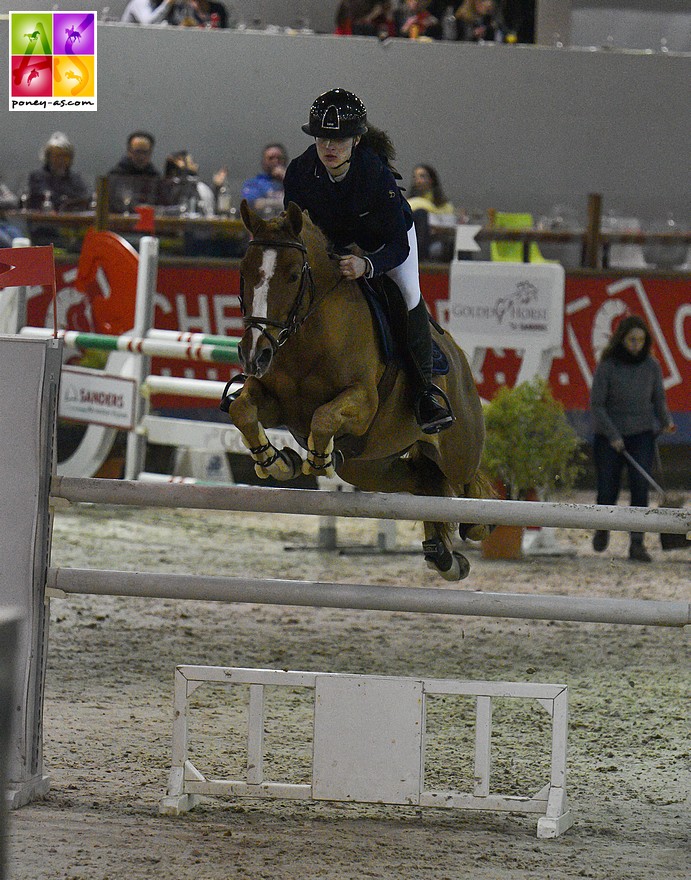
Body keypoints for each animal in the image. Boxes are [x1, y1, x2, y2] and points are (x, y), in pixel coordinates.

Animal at [227, 202, 486, 580]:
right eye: (244, 272)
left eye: (293, 275)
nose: (254, 354)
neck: (308, 335)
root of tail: (459, 358)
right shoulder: (275, 401)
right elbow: (242, 410)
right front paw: (278, 462)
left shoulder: (363, 402)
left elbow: (324, 417)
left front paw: (318, 460)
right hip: (369, 466)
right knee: (423, 481)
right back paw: (444, 557)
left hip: (457, 452)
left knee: (470, 486)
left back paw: (475, 527)